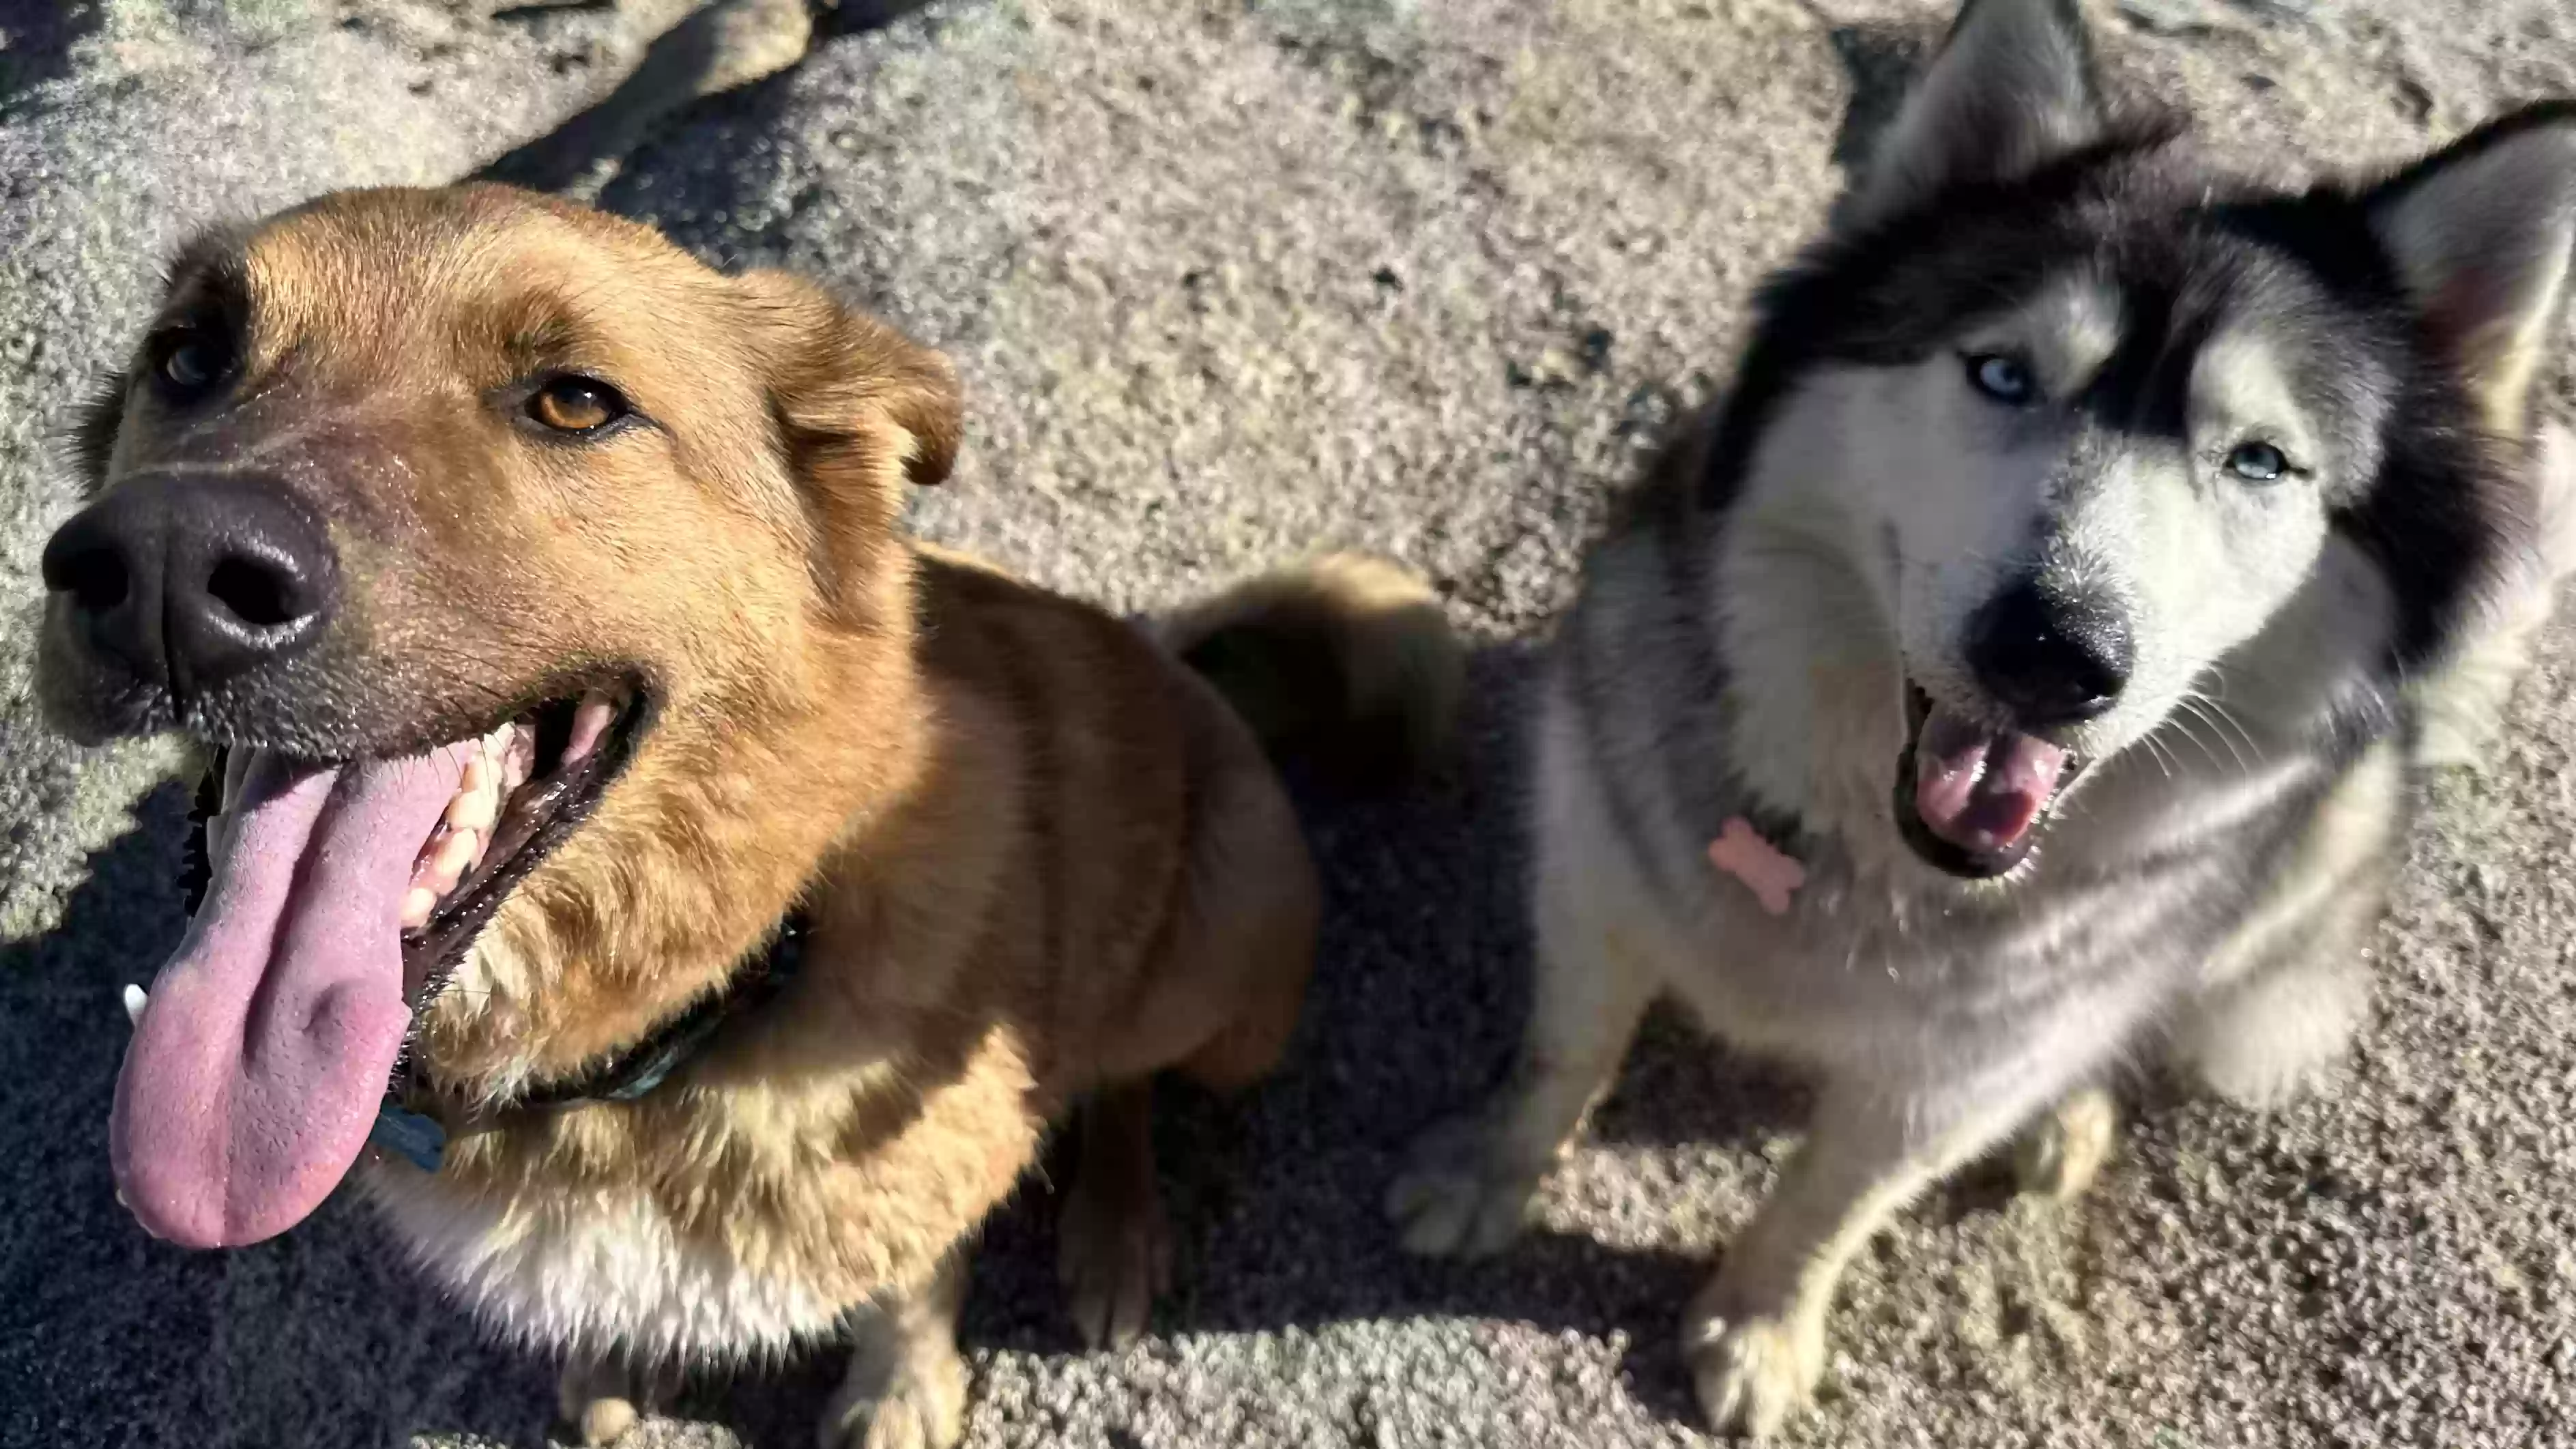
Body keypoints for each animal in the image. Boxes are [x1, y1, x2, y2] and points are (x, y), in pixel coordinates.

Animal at [40, 185, 1463, 1433]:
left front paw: (899, 1399)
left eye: (576, 399)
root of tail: (1179, 660)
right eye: (188, 355)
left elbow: (909, 1288)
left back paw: (1115, 1231)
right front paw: (617, 1362)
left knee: (1128, 1082)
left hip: (1220, 980)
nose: (160, 571)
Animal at [1391, 0, 2576, 1433]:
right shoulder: (1598, 874)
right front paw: (1486, 1173)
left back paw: (2064, 1116)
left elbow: (1834, 1192)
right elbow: (1563, 1054)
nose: (2054, 652)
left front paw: (1759, 1322)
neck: (1857, 863)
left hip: (2313, 850)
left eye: (2259, 459)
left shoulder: (1954, 1065)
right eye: (2004, 373)